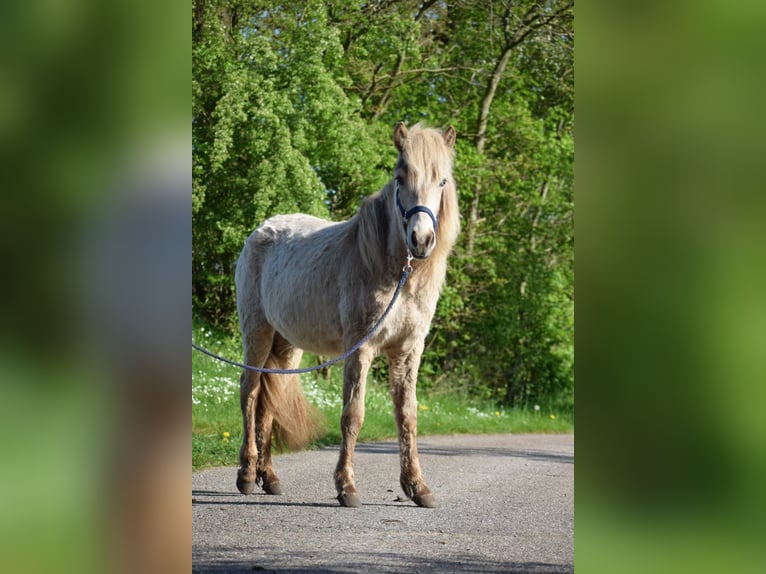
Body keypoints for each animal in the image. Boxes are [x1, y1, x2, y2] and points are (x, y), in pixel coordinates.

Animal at [237, 121, 460, 508]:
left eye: (442, 181)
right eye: (401, 176)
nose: (420, 239)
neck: (394, 272)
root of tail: (261, 230)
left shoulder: (408, 351)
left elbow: (408, 415)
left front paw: (417, 487)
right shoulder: (360, 348)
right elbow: (352, 415)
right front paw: (347, 488)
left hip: (287, 347)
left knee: (269, 401)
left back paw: (271, 478)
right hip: (257, 334)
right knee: (250, 393)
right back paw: (248, 475)